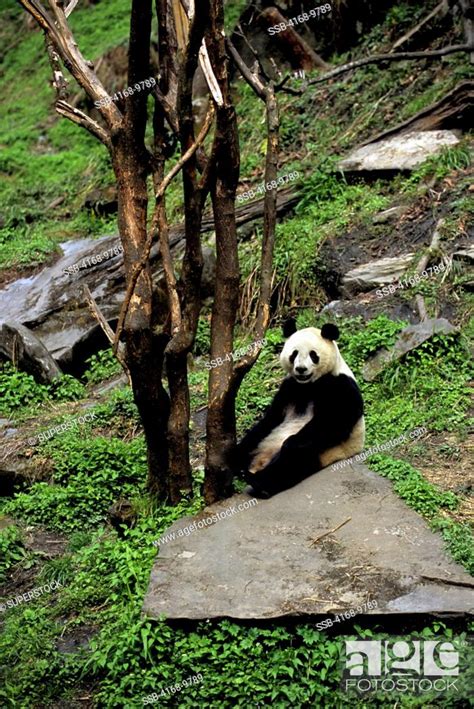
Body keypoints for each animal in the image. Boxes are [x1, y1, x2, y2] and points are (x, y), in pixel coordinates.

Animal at [233, 320, 366, 498]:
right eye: (294, 354)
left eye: (313, 355)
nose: (301, 369)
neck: (309, 384)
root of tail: (259, 463)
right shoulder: (290, 387)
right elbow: (271, 418)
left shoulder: (340, 386)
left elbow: (334, 421)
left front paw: (290, 443)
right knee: (254, 444)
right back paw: (237, 463)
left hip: (324, 452)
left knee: (292, 463)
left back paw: (259, 482)